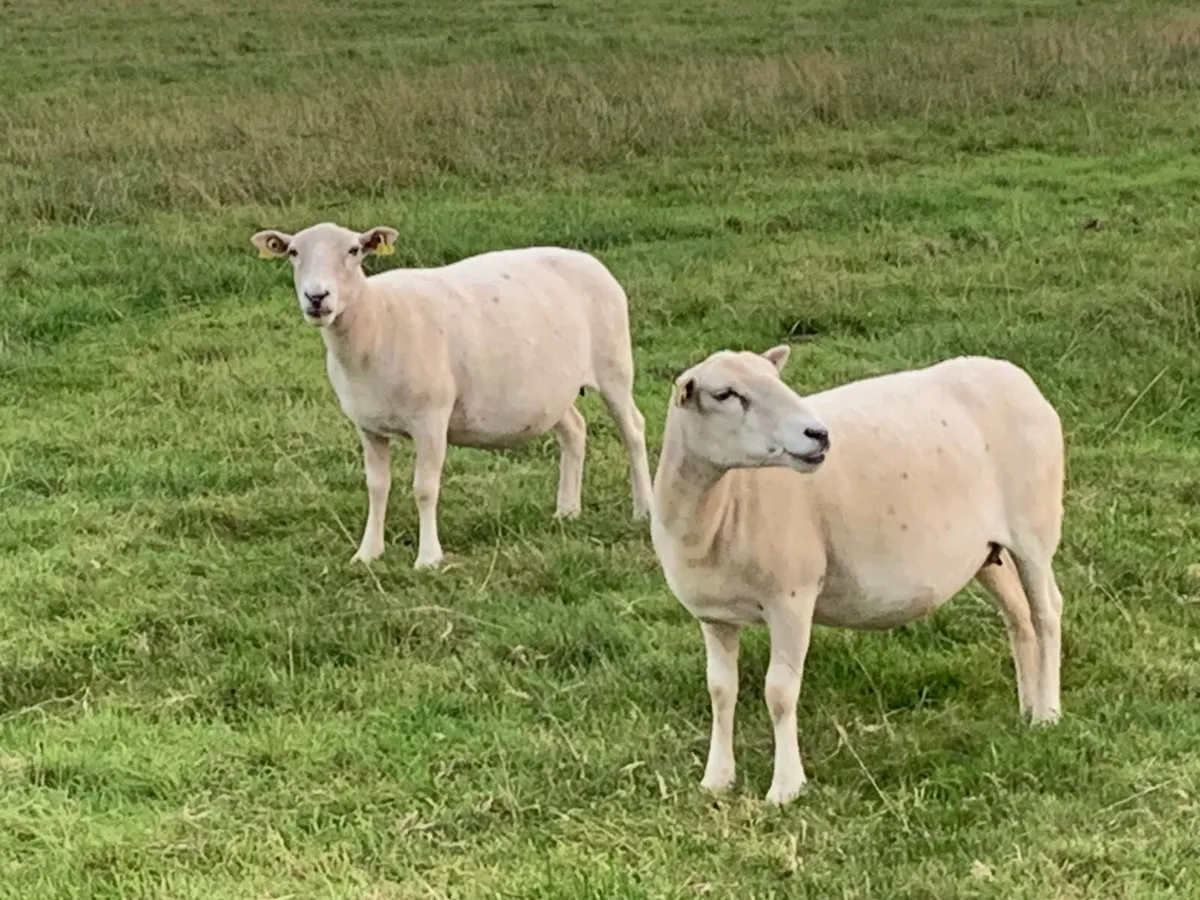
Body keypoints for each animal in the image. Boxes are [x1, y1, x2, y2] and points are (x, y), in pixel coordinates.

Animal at [251, 222, 654, 569]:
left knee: (633, 430)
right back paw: (567, 511)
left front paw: (429, 559)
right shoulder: (368, 426)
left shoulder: (430, 419)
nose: (317, 297)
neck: (375, 319)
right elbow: (376, 487)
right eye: (293, 252)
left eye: (354, 250)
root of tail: (588, 260)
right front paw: (368, 553)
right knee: (575, 430)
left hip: (614, 364)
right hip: (552, 390)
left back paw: (644, 509)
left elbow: (424, 489)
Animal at [650, 346, 1065, 805]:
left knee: (1047, 612)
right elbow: (721, 692)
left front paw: (786, 787)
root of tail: (1013, 373)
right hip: (985, 552)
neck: (721, 505)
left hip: (1034, 527)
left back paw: (1048, 713)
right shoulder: (713, 616)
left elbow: (779, 692)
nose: (818, 433)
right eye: (725, 394)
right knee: (1018, 615)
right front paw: (717, 779)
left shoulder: (792, 598)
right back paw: (1027, 707)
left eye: (777, 380)